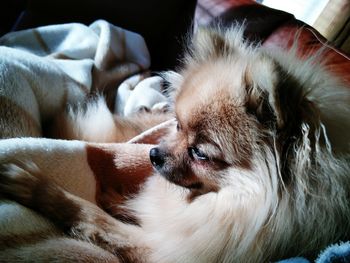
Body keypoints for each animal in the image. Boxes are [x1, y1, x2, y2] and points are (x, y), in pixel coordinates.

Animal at [0, 25, 348, 263]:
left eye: (200, 153)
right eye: (178, 126)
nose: (154, 154)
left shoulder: (163, 248)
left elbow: (91, 214)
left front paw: (35, 185)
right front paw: (120, 197)